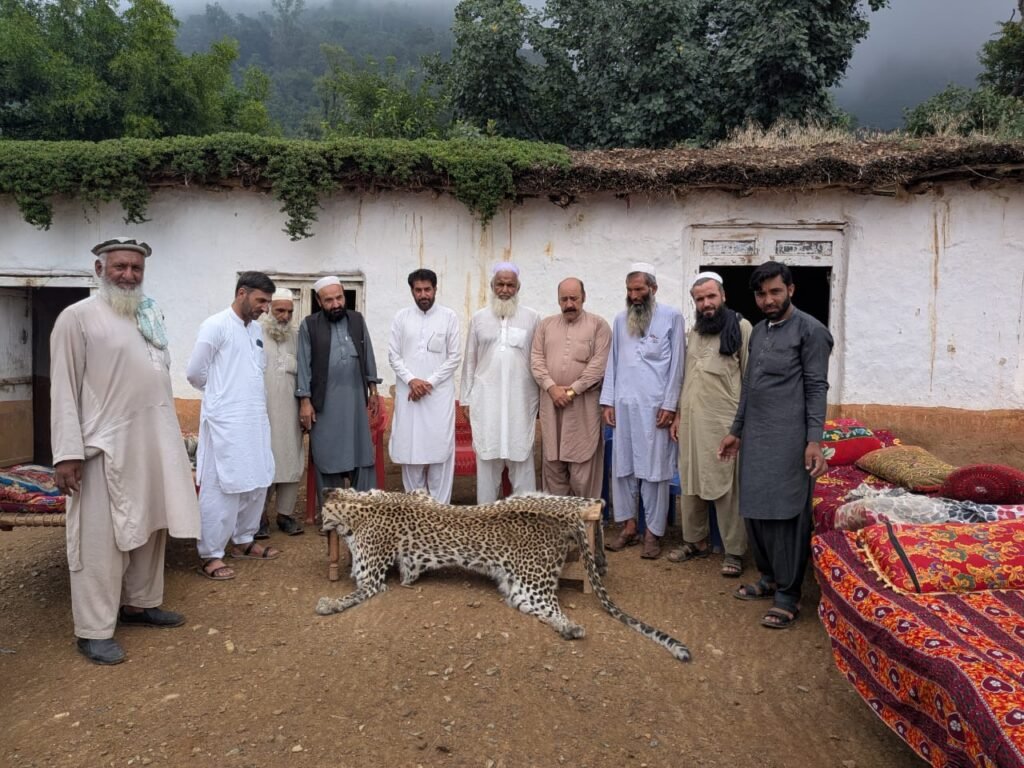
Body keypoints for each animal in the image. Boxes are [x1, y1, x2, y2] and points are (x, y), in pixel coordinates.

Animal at [314, 488, 691, 662]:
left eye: (321, 515)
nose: (318, 526)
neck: (358, 503)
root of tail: (565, 519)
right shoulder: (416, 494)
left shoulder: (370, 580)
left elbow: (350, 596)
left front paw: (326, 604)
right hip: (535, 522)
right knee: (592, 501)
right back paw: (599, 559)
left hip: (529, 585)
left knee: (556, 609)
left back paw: (572, 627)